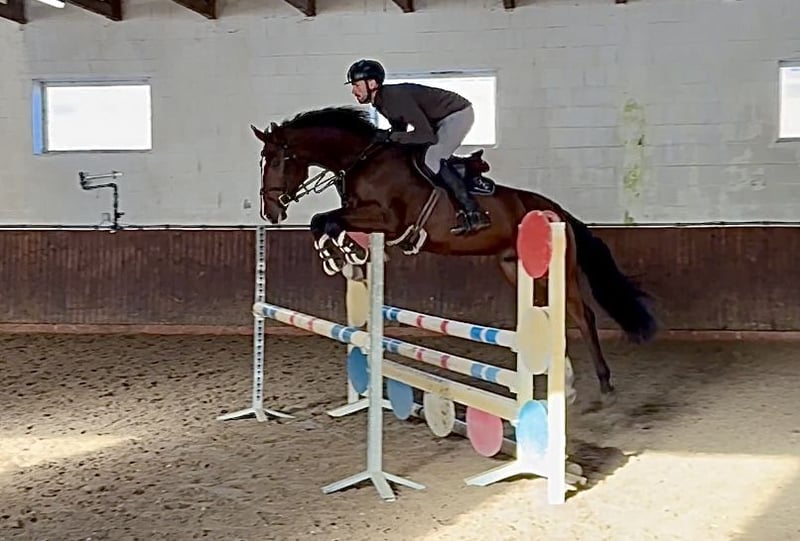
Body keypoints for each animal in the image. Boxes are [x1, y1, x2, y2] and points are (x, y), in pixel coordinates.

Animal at [250, 105, 658, 402]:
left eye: (278, 159)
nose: (269, 212)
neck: (362, 160)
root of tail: (555, 210)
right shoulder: (366, 219)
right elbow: (325, 222)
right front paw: (342, 254)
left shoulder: (388, 220)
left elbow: (324, 220)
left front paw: (335, 255)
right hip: (516, 268)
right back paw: (567, 382)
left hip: (561, 269)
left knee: (581, 314)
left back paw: (604, 383)